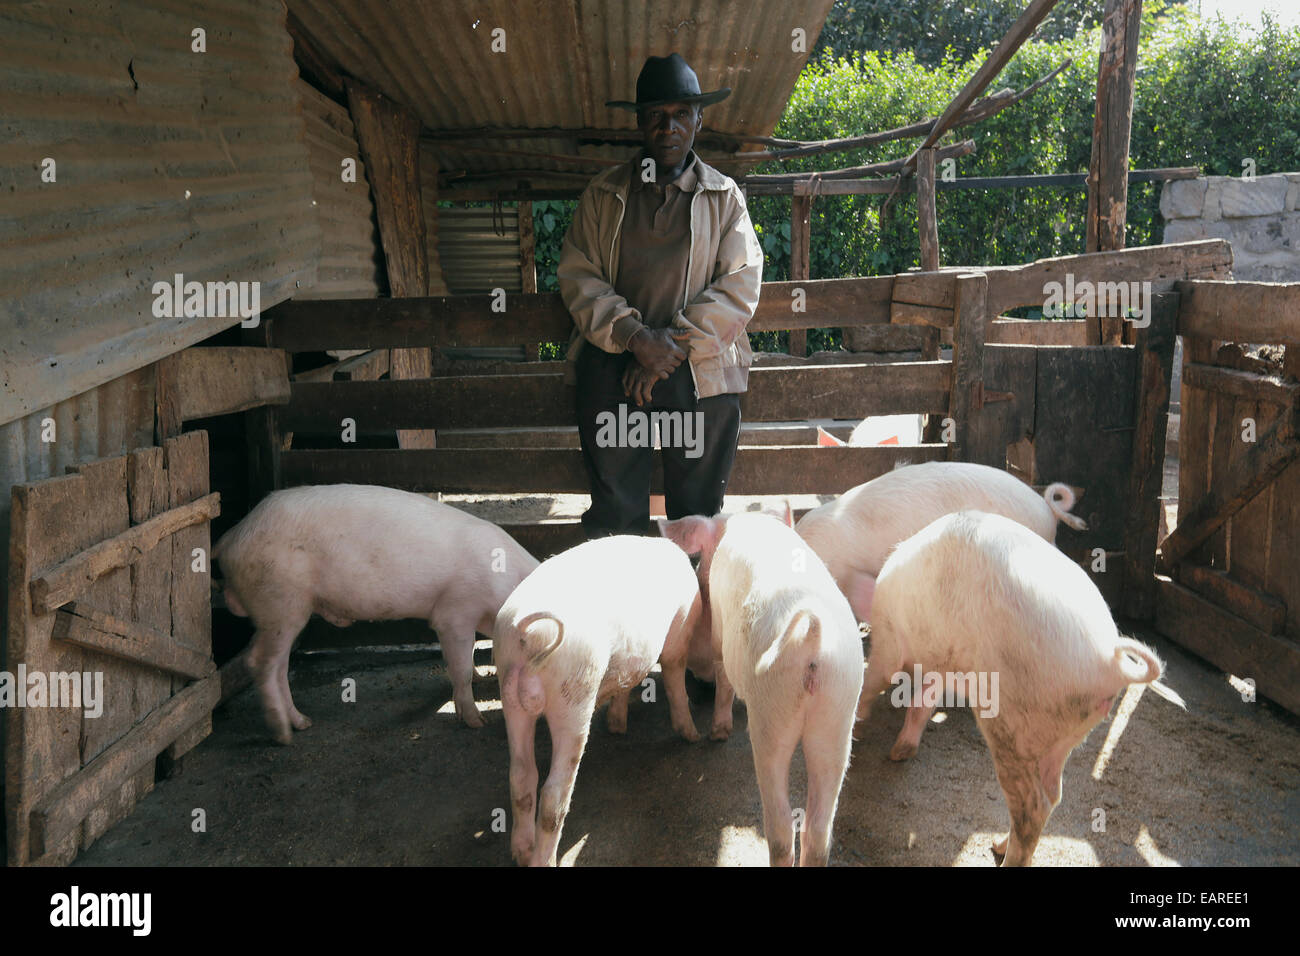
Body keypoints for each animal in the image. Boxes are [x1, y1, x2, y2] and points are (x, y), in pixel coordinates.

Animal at [214, 481, 538, 743]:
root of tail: (232, 537)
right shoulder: (454, 612)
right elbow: (459, 669)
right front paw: (476, 722)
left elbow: (468, 658)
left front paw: (481, 677)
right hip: (279, 600)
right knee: (260, 662)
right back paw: (283, 736)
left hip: (288, 609)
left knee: (279, 665)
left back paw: (303, 723)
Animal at [493, 538, 702, 868]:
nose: (696, 737)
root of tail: (531, 634)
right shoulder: (680, 630)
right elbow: (674, 674)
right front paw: (693, 737)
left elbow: (625, 682)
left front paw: (617, 727)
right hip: (574, 697)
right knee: (553, 794)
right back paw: (544, 860)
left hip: (509, 693)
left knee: (521, 775)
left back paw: (521, 854)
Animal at [660, 515, 863, 868]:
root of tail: (811, 637)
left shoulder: (720, 627)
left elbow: (722, 672)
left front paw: (718, 733)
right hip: (838, 712)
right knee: (819, 829)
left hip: (771, 711)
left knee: (781, 828)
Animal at [863, 512, 1190, 868]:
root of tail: (1109, 662)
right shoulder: (941, 662)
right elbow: (922, 702)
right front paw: (898, 754)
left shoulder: (888, 641)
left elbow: (875, 679)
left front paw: (864, 723)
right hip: (1063, 733)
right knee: (1053, 793)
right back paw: (997, 844)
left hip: (1013, 724)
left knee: (1033, 805)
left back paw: (1003, 854)